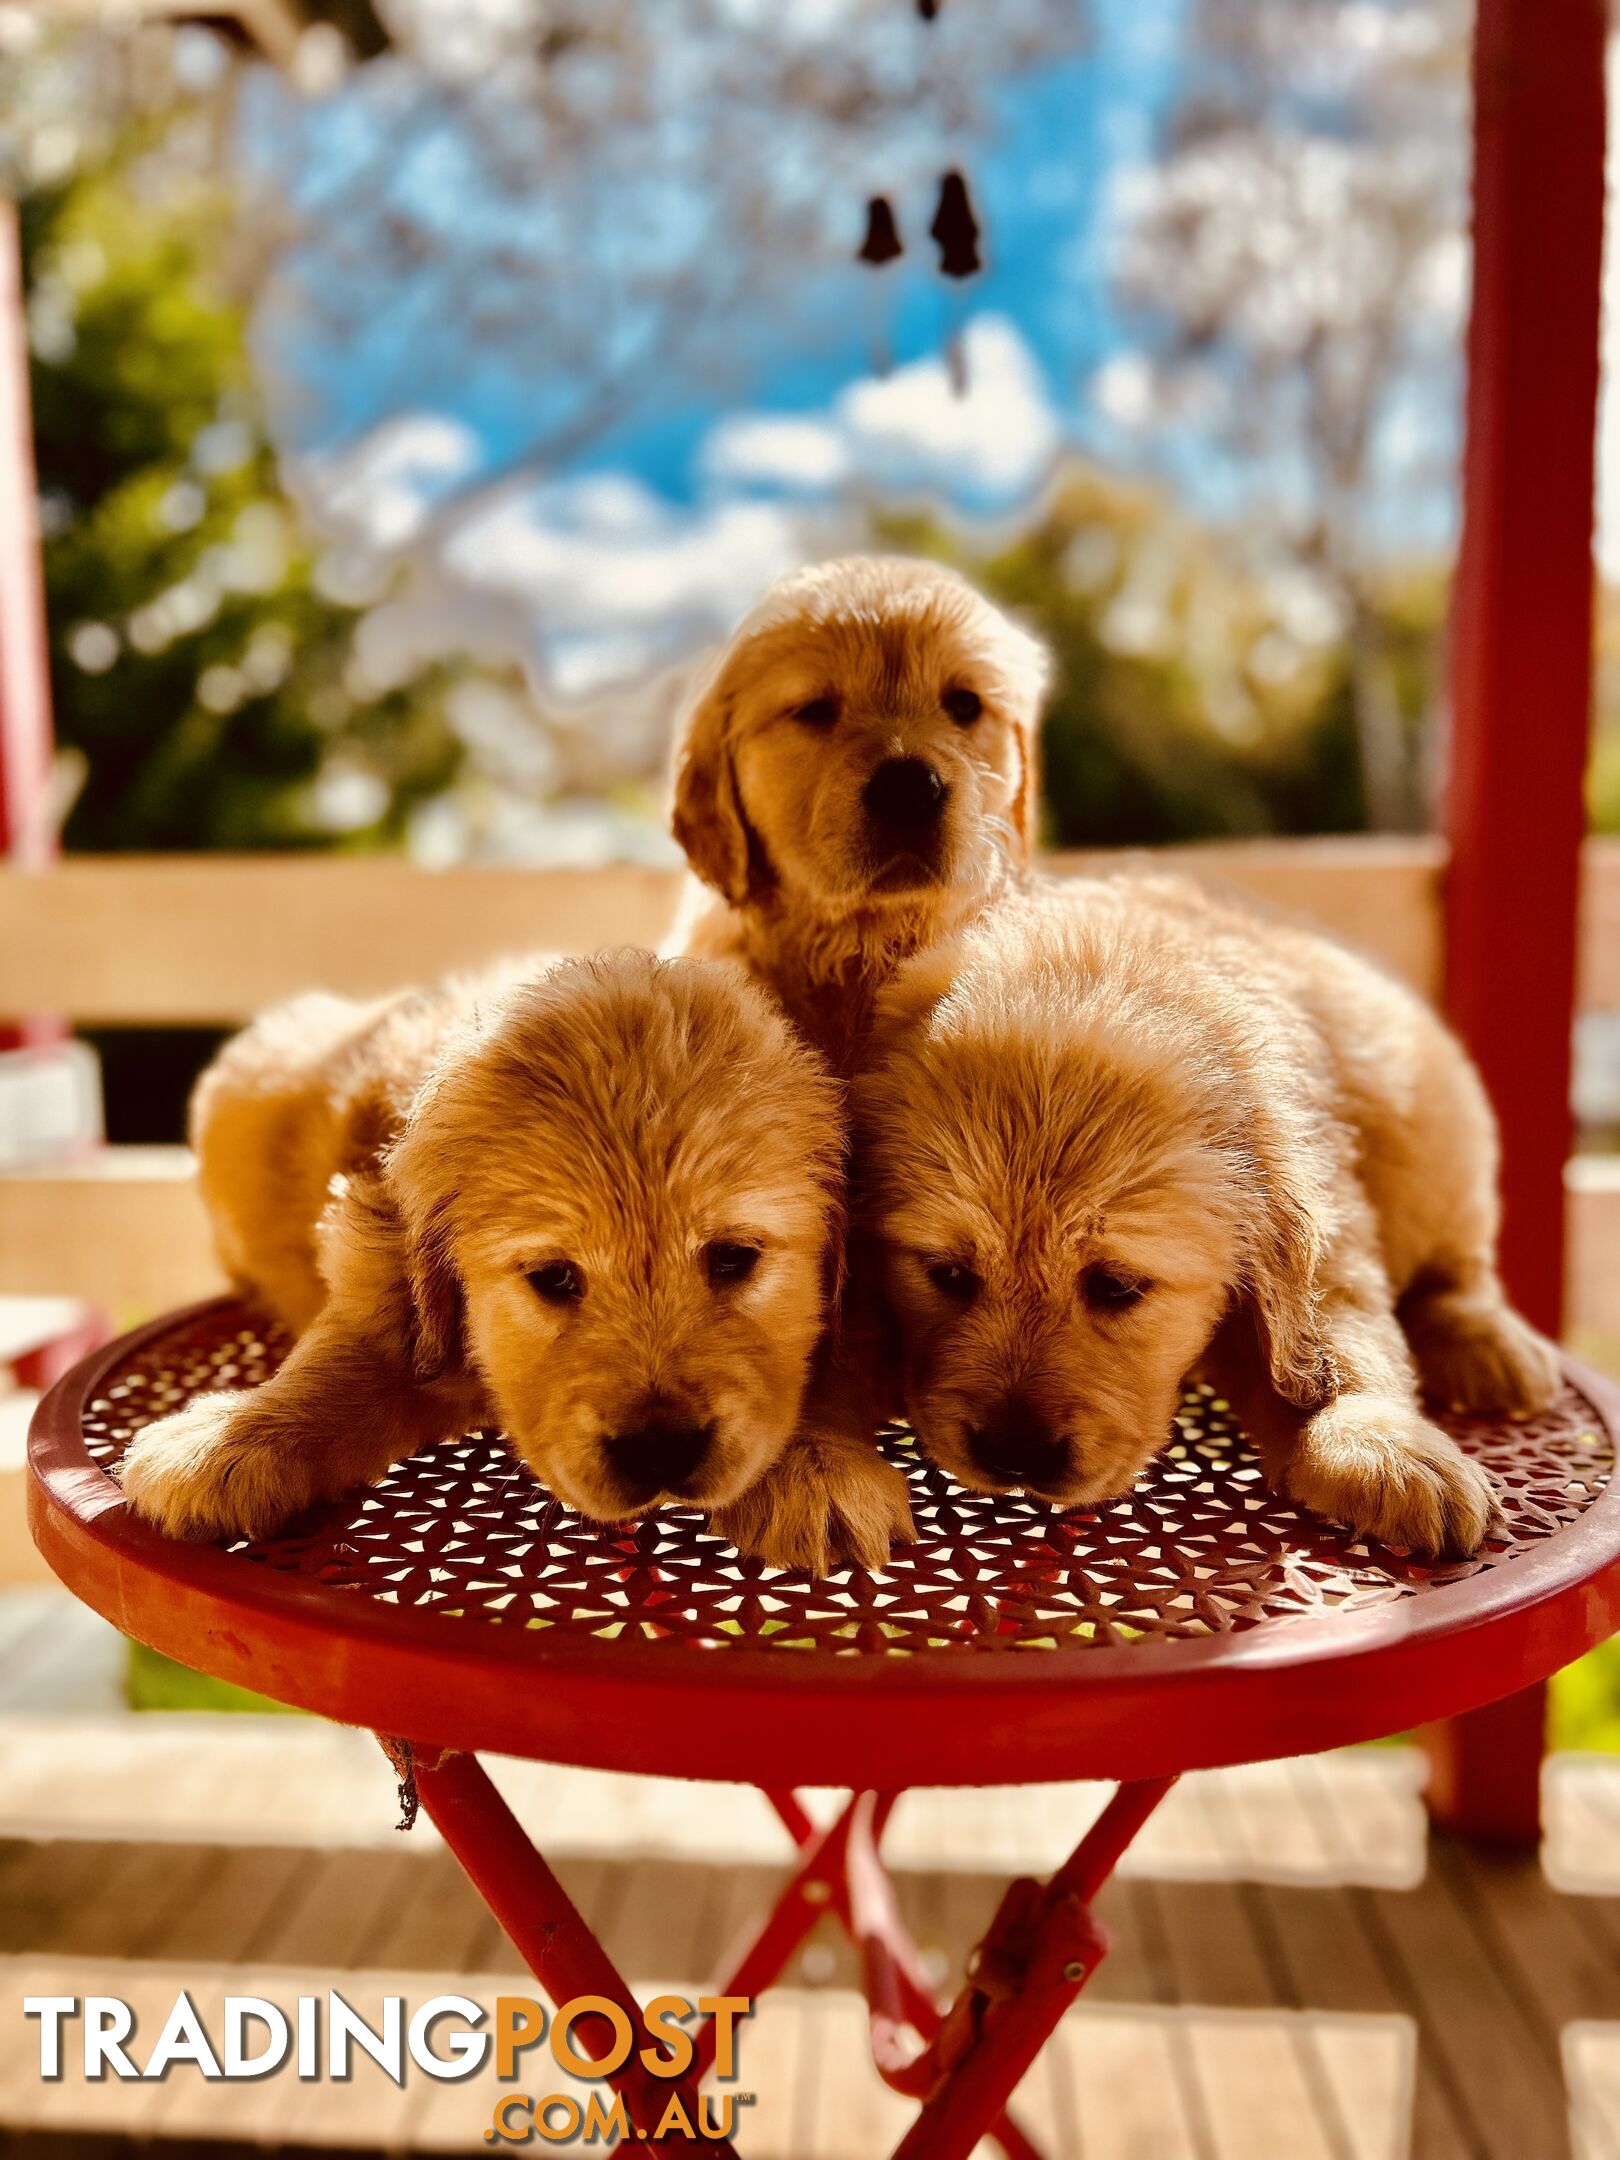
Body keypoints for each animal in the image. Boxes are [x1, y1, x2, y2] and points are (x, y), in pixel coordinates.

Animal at [120, 954, 851, 1563]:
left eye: (732, 1258)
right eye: (554, 1277)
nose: (660, 1447)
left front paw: (816, 1465)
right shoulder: (382, 1267)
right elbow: (342, 1361)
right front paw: (226, 1442)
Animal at [855, 876, 1563, 1555]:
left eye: (1117, 1286)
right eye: (948, 1274)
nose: (1014, 1456)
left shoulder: (1327, 1217)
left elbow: (1345, 1326)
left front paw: (1384, 1446)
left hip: (1441, 1137)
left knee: (1460, 1266)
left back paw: (1487, 1345)